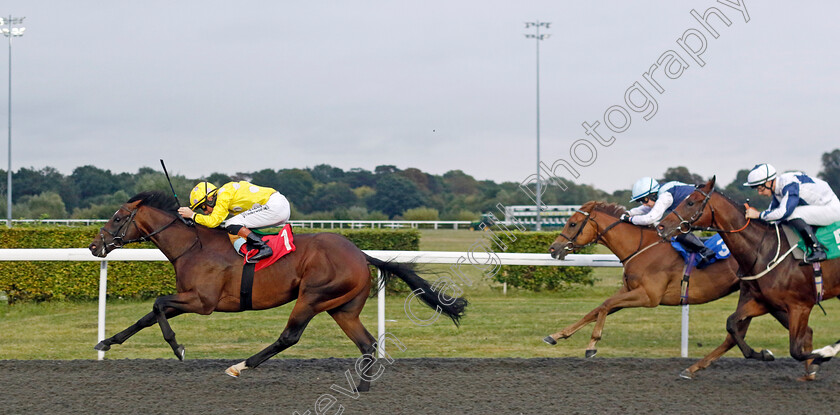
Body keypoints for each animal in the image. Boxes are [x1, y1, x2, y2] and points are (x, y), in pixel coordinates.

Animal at [92, 191, 472, 390]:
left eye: (117, 218)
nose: (95, 246)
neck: (193, 246)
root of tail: (361, 254)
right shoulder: (186, 298)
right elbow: (147, 316)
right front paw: (106, 343)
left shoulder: (202, 301)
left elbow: (157, 306)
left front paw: (178, 347)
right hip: (343, 307)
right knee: (367, 343)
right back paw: (362, 388)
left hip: (313, 296)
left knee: (289, 336)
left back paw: (241, 366)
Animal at [548, 203, 772, 368]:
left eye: (573, 224)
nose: (553, 248)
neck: (641, 248)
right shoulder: (629, 290)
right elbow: (597, 309)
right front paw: (557, 335)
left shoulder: (649, 297)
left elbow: (605, 306)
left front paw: (592, 345)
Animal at [660, 177, 836, 382]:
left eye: (690, 202)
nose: (661, 226)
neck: (764, 248)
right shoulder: (763, 300)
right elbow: (732, 325)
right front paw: (765, 354)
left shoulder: (800, 305)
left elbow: (796, 350)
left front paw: (827, 352)